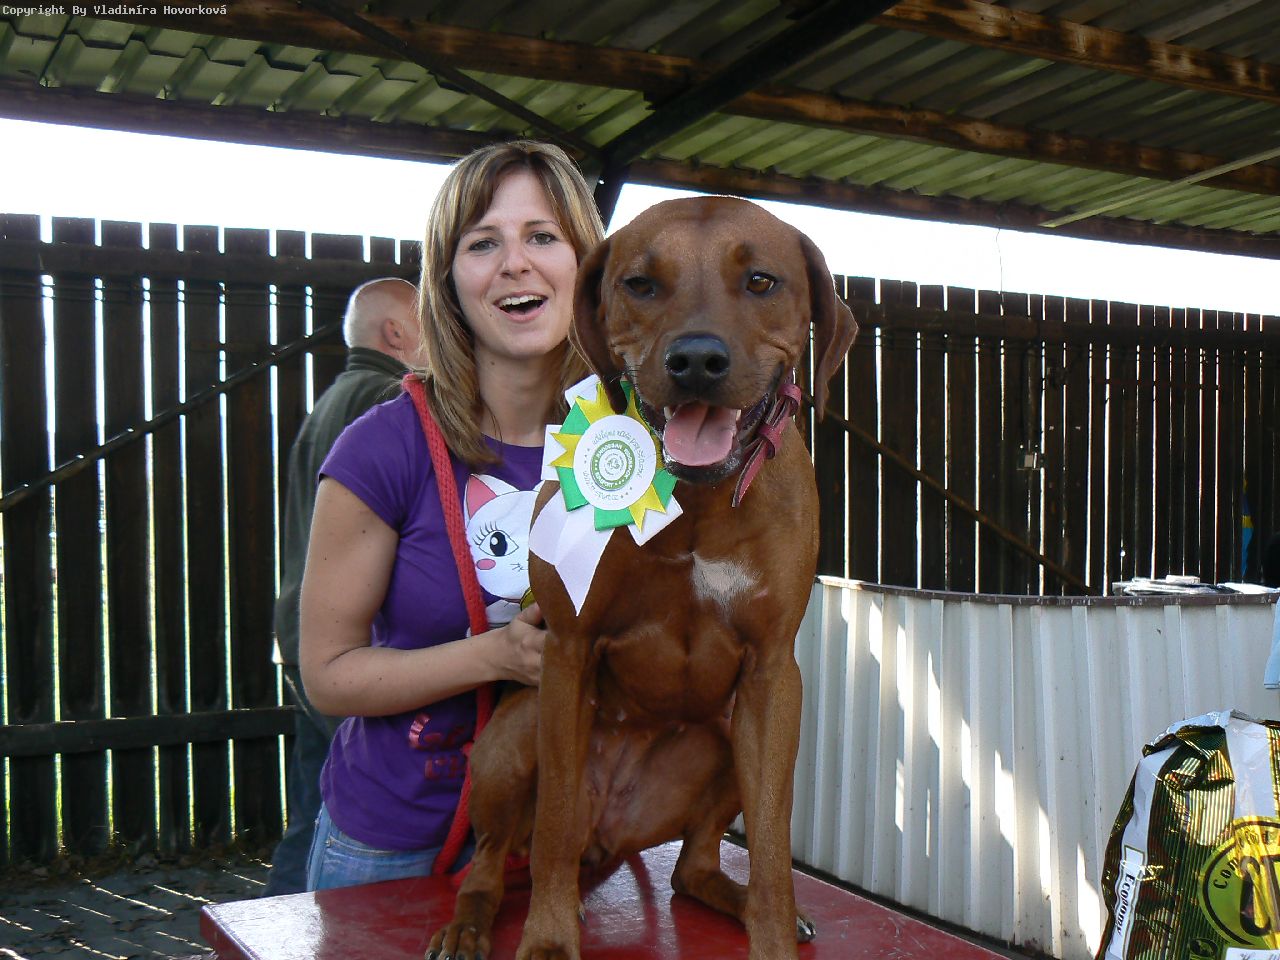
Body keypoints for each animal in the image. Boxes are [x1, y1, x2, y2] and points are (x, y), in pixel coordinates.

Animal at [427, 196, 857, 960]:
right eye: (640, 284)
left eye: (762, 281)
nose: (697, 361)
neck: (698, 499)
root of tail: (612, 838)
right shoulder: (568, 653)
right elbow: (554, 819)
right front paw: (548, 941)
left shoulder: (773, 677)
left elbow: (772, 848)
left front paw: (773, 933)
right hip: (515, 735)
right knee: (498, 857)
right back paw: (471, 922)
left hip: (725, 736)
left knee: (691, 868)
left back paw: (733, 897)